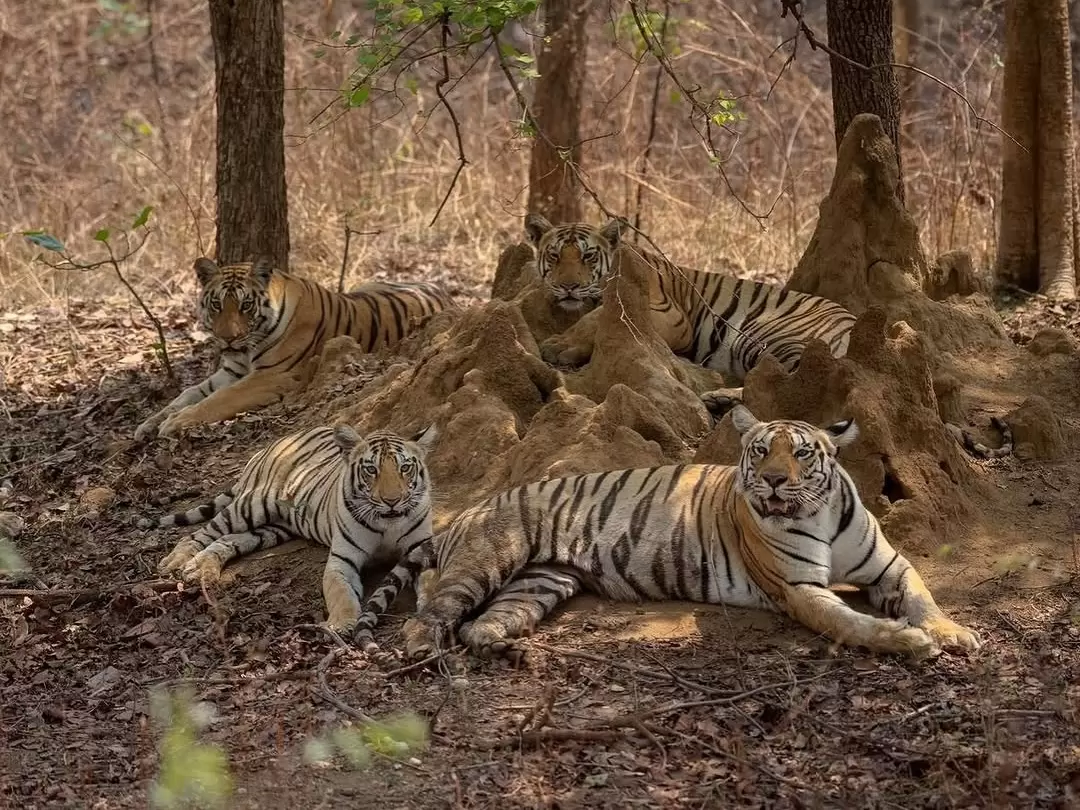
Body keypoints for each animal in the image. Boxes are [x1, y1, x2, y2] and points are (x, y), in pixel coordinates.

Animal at [134, 257, 452, 441]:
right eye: (216, 304)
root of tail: (442, 291)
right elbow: (188, 394)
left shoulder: (272, 375)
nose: (228, 339)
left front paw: (176, 422)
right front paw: (149, 424)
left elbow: (218, 399)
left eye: (245, 305)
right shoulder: (232, 371)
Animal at [136, 423, 437, 632]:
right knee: (201, 533)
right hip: (252, 506)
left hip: (273, 530)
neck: (388, 524)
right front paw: (341, 624)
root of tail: (273, 443)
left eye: (405, 468)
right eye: (371, 470)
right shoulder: (342, 560)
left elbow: (431, 580)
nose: (392, 500)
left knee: (225, 541)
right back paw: (178, 562)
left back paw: (202, 571)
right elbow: (339, 593)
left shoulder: (420, 551)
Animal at [394, 404, 981, 664]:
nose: (773, 481)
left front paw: (952, 632)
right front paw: (908, 640)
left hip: (538, 581)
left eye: (801, 454)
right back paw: (424, 651)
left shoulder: (891, 565)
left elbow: (924, 596)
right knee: (431, 612)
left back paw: (508, 648)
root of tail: (472, 510)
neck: (816, 512)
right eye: (760, 452)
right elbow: (851, 622)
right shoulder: (799, 588)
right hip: (489, 558)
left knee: (480, 624)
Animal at [524, 214, 856, 410]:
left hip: (770, 335)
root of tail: (853, 319)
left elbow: (596, 317)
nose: (568, 286)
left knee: (792, 381)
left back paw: (720, 398)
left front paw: (560, 346)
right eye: (554, 255)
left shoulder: (671, 317)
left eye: (588, 256)